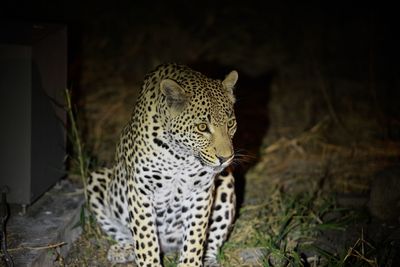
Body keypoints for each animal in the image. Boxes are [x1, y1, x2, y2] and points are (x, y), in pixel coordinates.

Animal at [86, 63, 238, 266]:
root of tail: (168, 247)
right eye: (202, 127)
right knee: (125, 234)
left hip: (226, 181)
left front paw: (190, 262)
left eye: (230, 123)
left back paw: (209, 260)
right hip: (97, 181)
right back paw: (123, 250)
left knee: (212, 240)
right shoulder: (140, 190)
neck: (181, 157)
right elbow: (145, 239)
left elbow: (195, 238)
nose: (226, 158)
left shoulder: (200, 191)